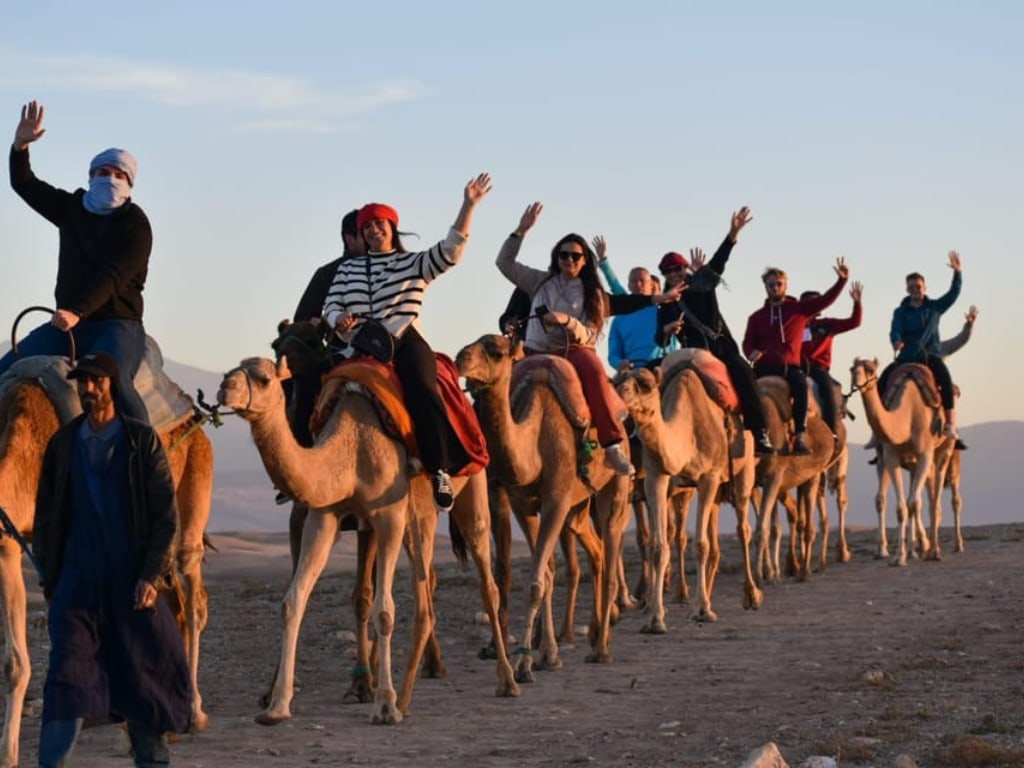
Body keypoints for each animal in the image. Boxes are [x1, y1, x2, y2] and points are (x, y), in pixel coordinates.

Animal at [219, 358, 516, 724]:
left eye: (263, 379)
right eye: (230, 371)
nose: (224, 388)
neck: (352, 445)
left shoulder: (388, 517)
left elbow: (385, 611)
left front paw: (384, 704)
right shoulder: (324, 516)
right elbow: (293, 601)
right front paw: (276, 705)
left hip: (471, 490)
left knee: (485, 583)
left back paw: (506, 680)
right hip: (418, 517)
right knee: (425, 590)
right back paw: (405, 696)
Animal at [458, 333, 630, 684]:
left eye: (496, 350)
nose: (460, 358)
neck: (534, 442)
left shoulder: (556, 499)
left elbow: (538, 580)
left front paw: (525, 665)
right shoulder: (523, 503)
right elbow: (546, 574)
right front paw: (545, 656)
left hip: (614, 489)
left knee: (611, 544)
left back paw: (601, 648)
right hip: (578, 507)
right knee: (596, 549)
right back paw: (594, 634)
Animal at [614, 354, 761, 630]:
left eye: (646, 385)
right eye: (617, 382)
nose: (618, 397)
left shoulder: (708, 477)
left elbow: (700, 545)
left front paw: (702, 611)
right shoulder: (656, 478)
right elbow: (659, 546)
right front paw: (655, 618)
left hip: (744, 468)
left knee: (742, 528)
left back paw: (751, 595)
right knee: (714, 538)